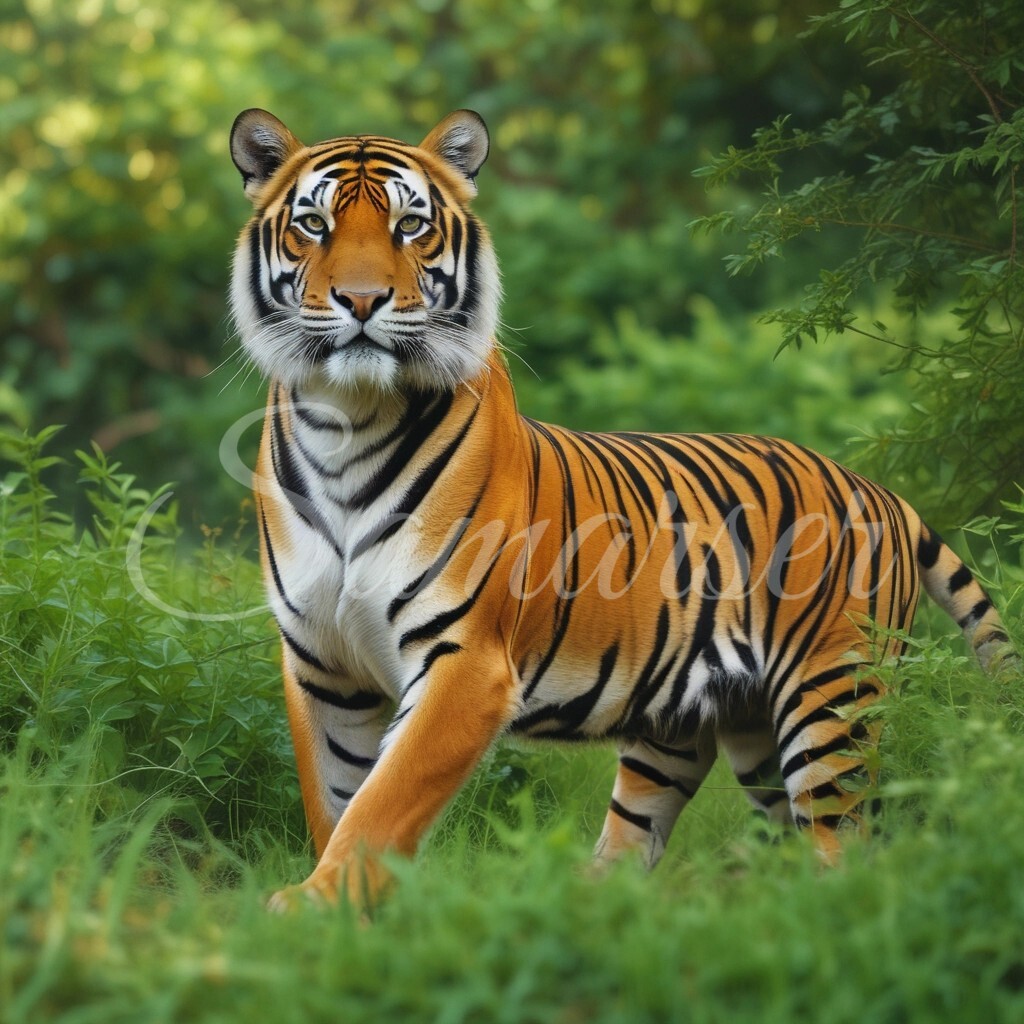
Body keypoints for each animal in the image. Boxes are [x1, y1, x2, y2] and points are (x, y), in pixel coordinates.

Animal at [228, 107, 1018, 910]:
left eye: (410, 225)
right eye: (315, 224)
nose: (361, 301)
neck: (346, 419)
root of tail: (882, 491)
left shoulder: (466, 659)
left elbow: (385, 799)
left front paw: (313, 906)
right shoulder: (319, 661)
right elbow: (334, 796)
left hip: (832, 701)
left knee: (846, 847)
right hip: (706, 725)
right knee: (660, 838)